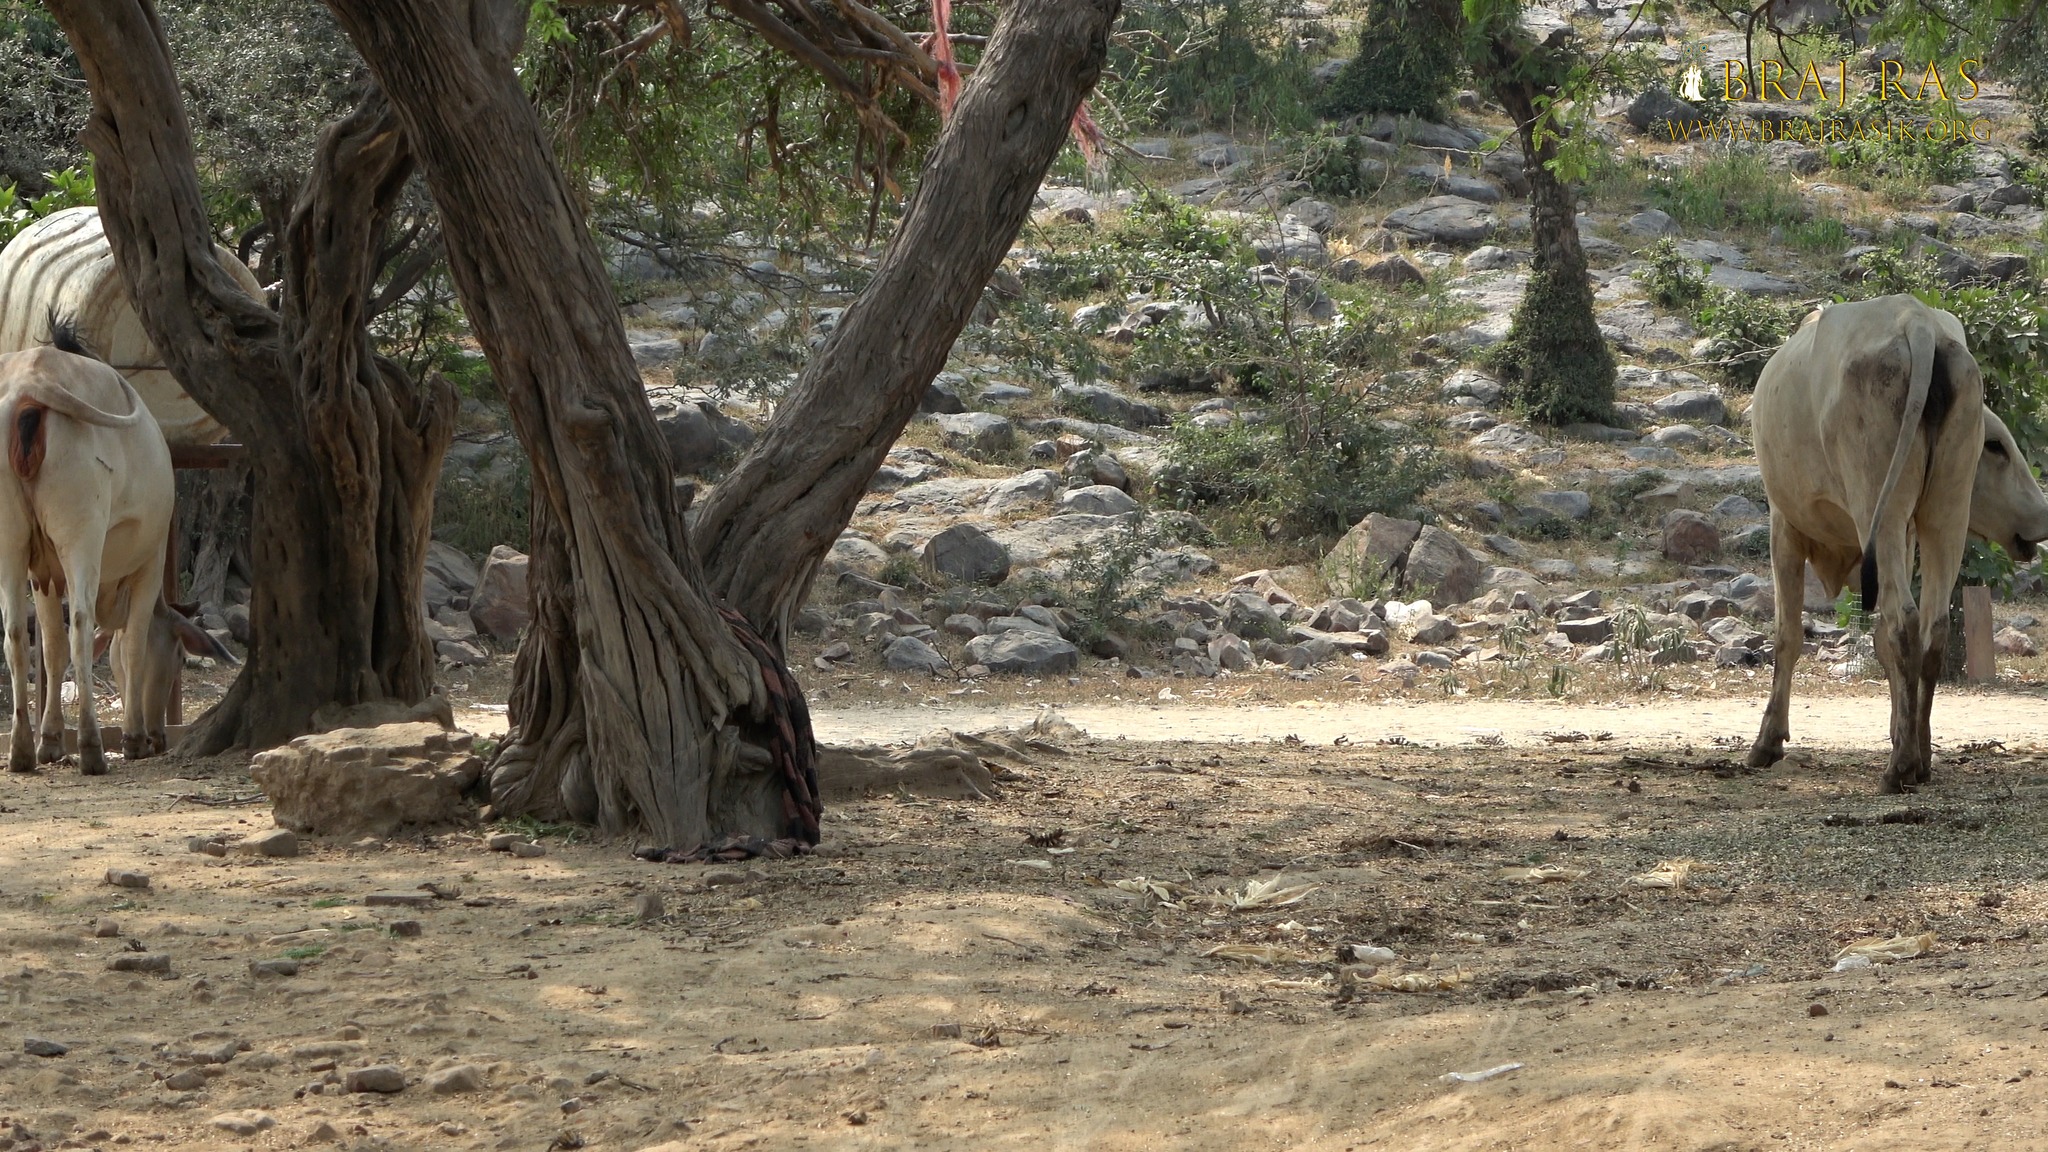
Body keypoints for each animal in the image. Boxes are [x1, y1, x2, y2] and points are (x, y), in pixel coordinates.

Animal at [0, 320, 175, 775]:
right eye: (175, 660)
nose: (159, 737)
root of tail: (29, 382)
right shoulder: (151, 565)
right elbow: (133, 646)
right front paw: (133, 738)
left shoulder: (41, 575)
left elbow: (51, 649)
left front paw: (50, 740)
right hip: (81, 535)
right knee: (80, 624)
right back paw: (93, 747)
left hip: (10, 544)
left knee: (15, 633)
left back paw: (22, 749)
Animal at [1747, 294, 2048, 791]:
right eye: (1995, 446)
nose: (2040, 519)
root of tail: (1918, 321)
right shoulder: (1906, 536)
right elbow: (1882, 646)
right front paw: (1898, 732)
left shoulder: (1783, 523)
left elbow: (1787, 635)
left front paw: (1767, 742)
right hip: (1944, 514)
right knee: (1932, 625)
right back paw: (1920, 757)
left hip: (1877, 505)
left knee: (1903, 619)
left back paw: (1901, 766)